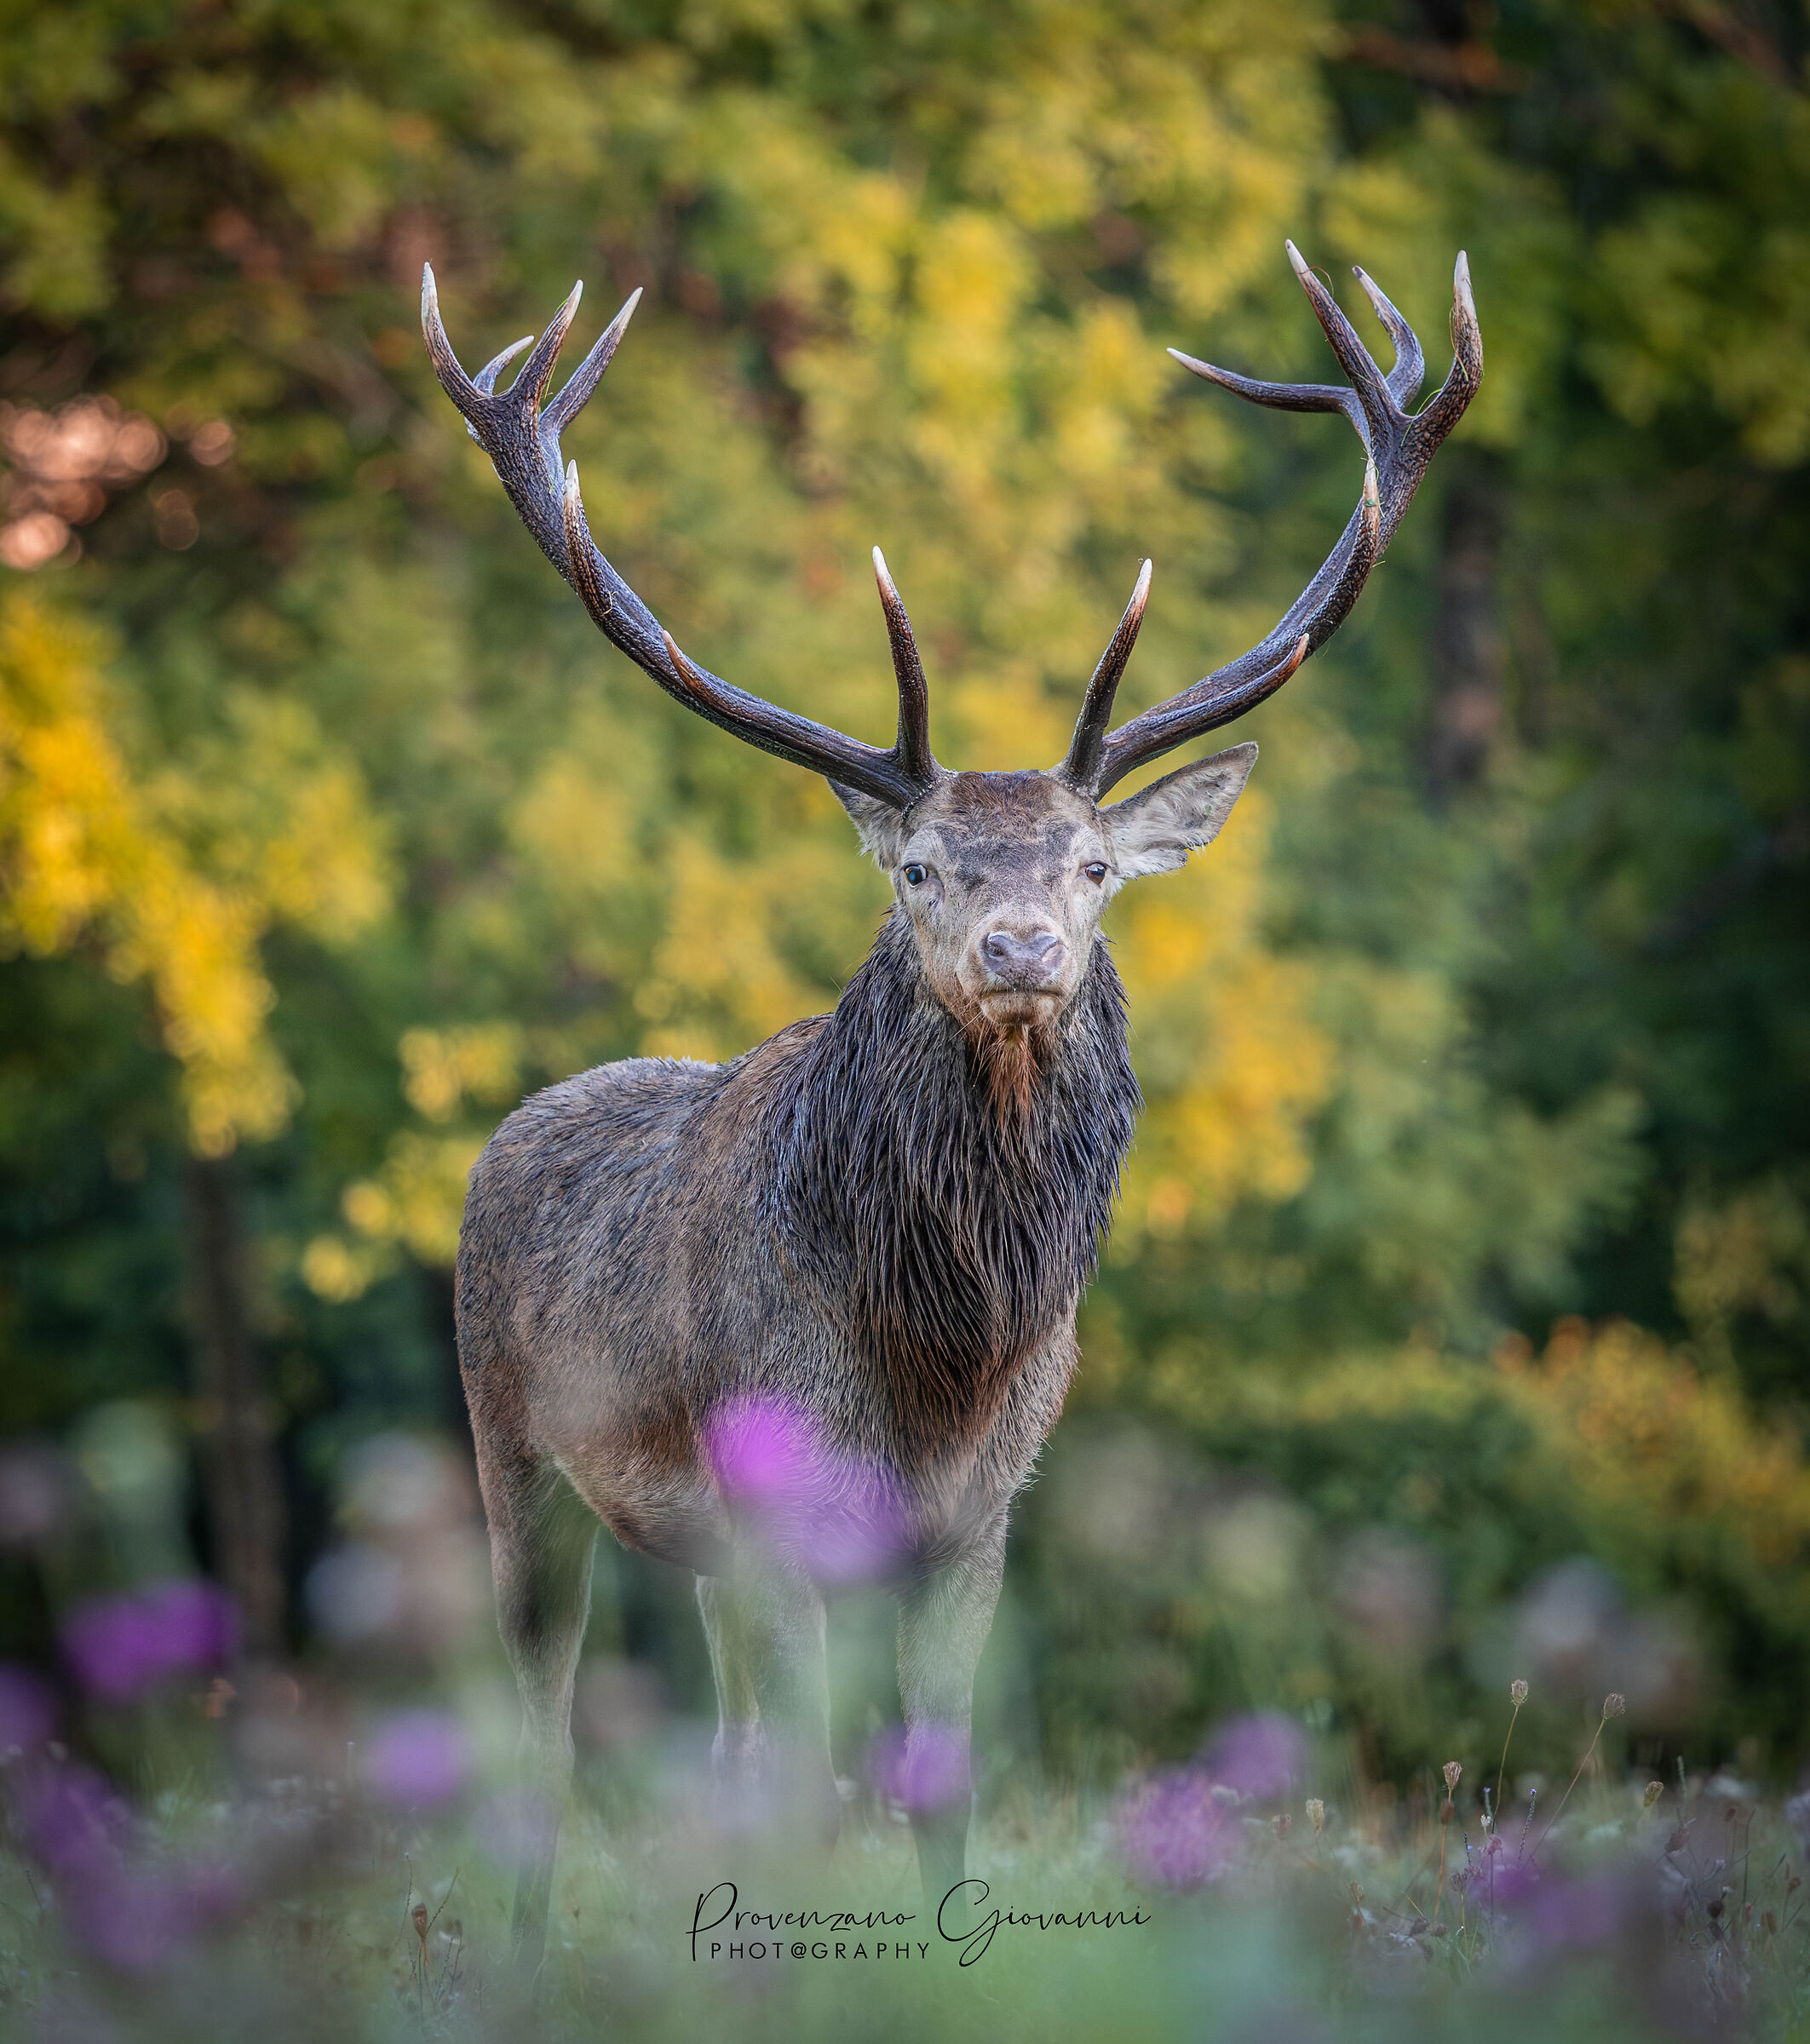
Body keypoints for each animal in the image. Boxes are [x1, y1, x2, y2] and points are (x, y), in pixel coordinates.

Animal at [422, 239, 1480, 1971]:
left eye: (1095, 866)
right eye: (921, 867)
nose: (1021, 946)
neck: (940, 1353)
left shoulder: (981, 1522)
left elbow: (935, 1780)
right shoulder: (785, 1500)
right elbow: (798, 1781)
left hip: (696, 1549)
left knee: (719, 1741)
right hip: (513, 1445)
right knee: (543, 1723)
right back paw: (514, 1950)